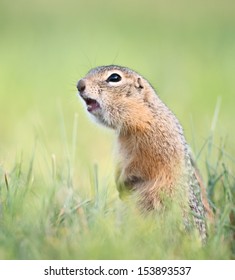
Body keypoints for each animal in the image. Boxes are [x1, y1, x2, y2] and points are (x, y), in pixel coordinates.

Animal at [76, 64, 212, 242]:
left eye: (114, 78)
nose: (79, 84)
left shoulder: (151, 146)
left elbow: (141, 165)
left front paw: (123, 182)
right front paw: (119, 182)